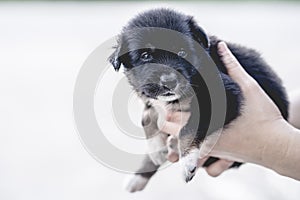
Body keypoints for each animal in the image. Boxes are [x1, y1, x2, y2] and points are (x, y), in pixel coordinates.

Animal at [109, 8, 290, 191]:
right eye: (145, 55)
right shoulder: (152, 99)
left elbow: (188, 128)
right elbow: (146, 117)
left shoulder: (224, 95)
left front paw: (187, 161)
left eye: (182, 52)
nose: (169, 82)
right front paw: (156, 150)